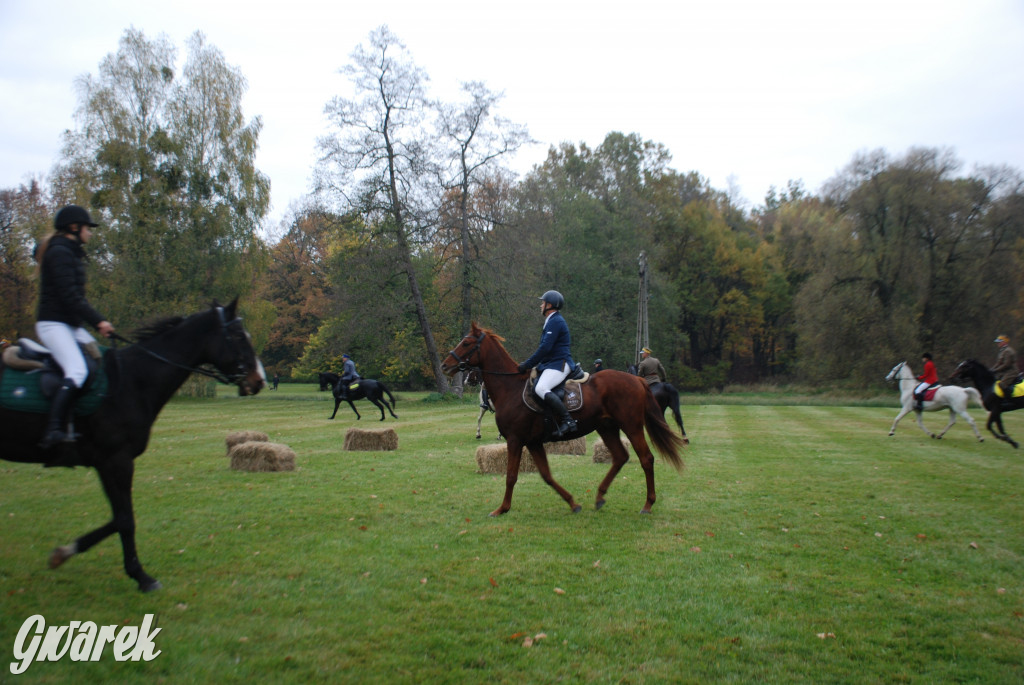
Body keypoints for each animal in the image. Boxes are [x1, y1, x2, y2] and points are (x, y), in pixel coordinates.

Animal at [1, 301, 264, 589]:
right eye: (239, 336)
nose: (258, 380)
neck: (133, 380)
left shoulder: (105, 463)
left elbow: (117, 518)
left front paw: (65, 552)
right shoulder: (118, 460)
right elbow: (125, 520)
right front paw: (141, 575)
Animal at [442, 323, 688, 516]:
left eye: (466, 343)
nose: (445, 365)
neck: (509, 388)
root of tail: (637, 380)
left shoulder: (515, 439)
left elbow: (511, 475)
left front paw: (502, 509)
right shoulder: (533, 442)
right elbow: (546, 475)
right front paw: (572, 503)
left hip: (632, 426)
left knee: (646, 459)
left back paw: (647, 504)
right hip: (606, 427)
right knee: (620, 457)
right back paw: (599, 496)